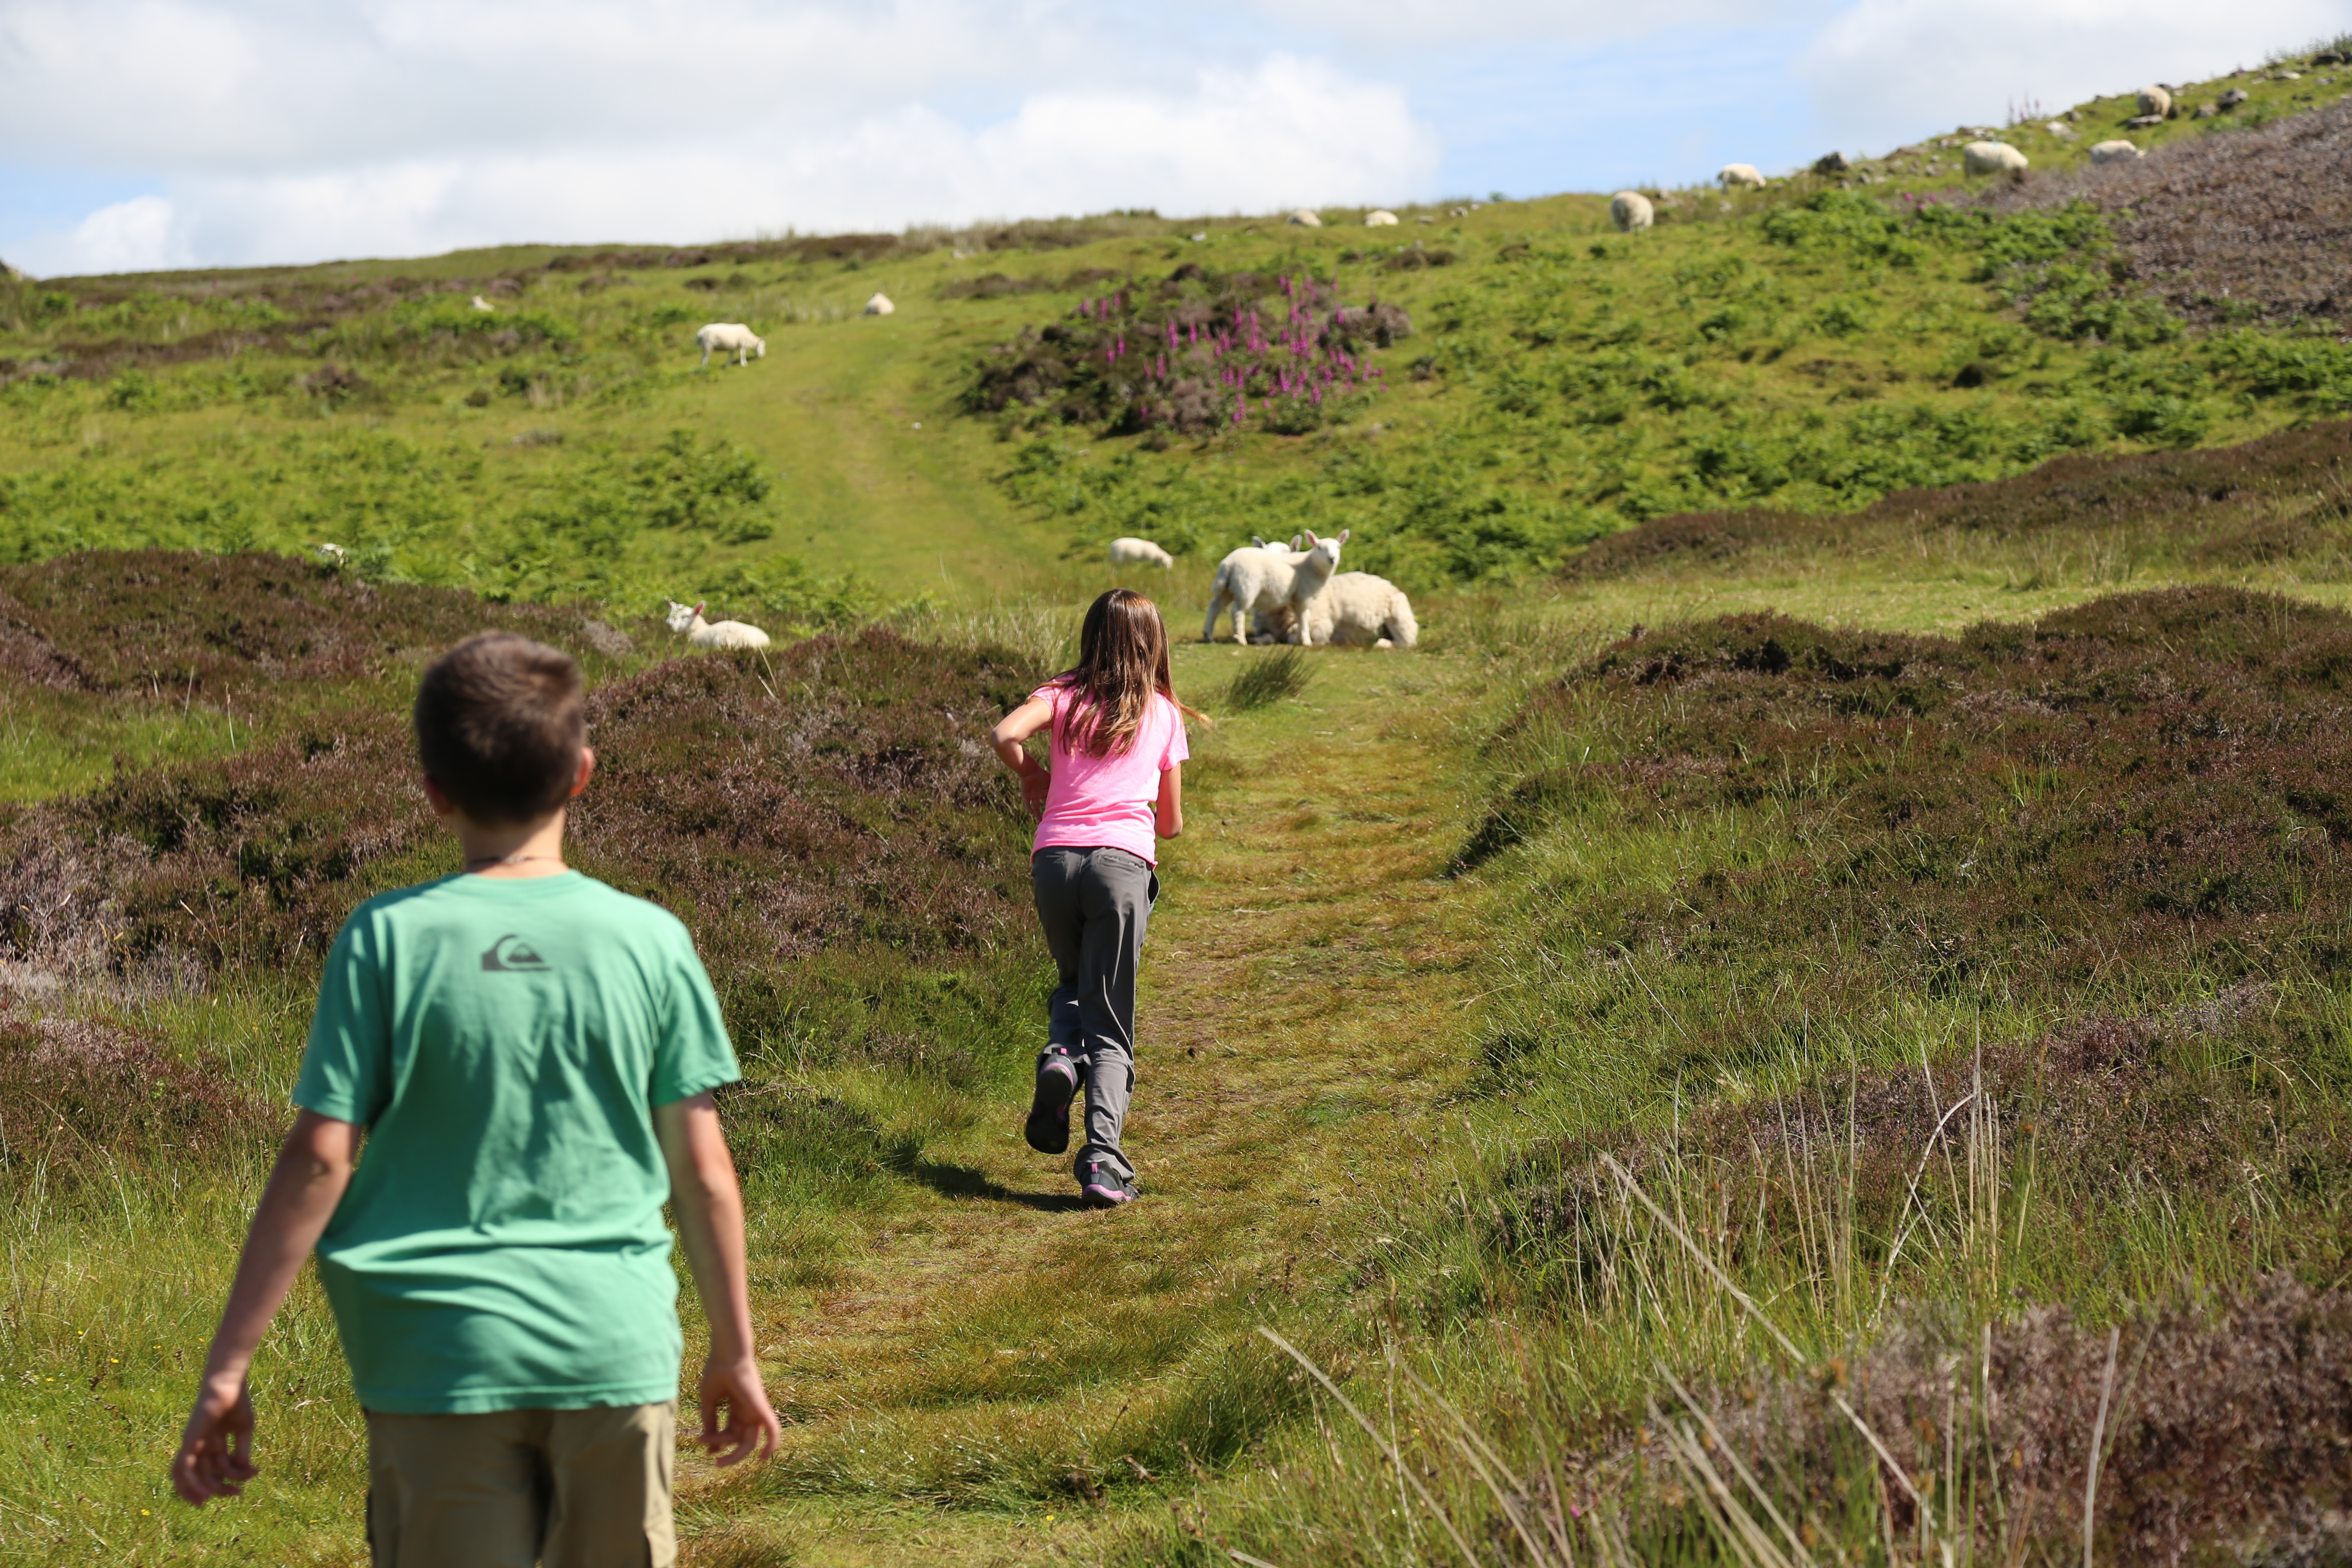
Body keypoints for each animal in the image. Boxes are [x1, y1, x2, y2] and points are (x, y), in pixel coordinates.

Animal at [691, 322, 766, 369]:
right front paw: (744, 364)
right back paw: (705, 369)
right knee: (705, 359)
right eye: (762, 346)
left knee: (702, 358)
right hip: (708, 346)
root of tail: (699, 334)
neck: (749, 339)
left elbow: (731, 356)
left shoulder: (732, 347)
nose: (763, 355)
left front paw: (729, 365)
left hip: (703, 348)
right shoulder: (742, 345)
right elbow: (742, 354)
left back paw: (701, 368)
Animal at [1105, 540, 1171, 571]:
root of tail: (1112, 545)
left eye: (1170, 564)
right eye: (1164, 564)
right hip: (1118, 558)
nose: (1168, 570)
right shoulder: (1148, 561)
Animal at [1599, 193, 1656, 233]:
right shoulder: (1644, 220)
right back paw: (1632, 232)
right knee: (1631, 225)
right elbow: (1641, 227)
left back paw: (1624, 232)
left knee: (1621, 224)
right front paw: (1640, 231)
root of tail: (1622, 204)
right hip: (1632, 215)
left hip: (1617, 215)